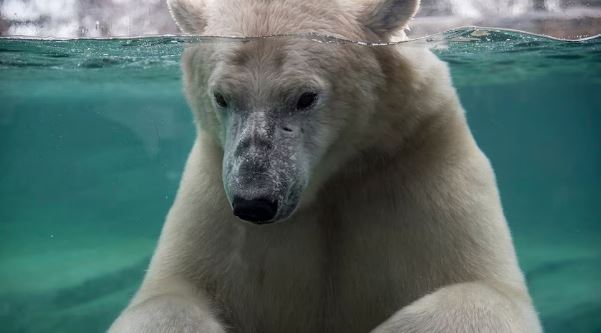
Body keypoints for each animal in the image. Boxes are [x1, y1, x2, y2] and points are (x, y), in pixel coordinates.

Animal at [106, 0, 540, 330]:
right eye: (222, 97)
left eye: (305, 97)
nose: (255, 202)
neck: (330, 179)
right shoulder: (215, 193)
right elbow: (170, 294)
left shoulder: (420, 162)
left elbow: (481, 287)